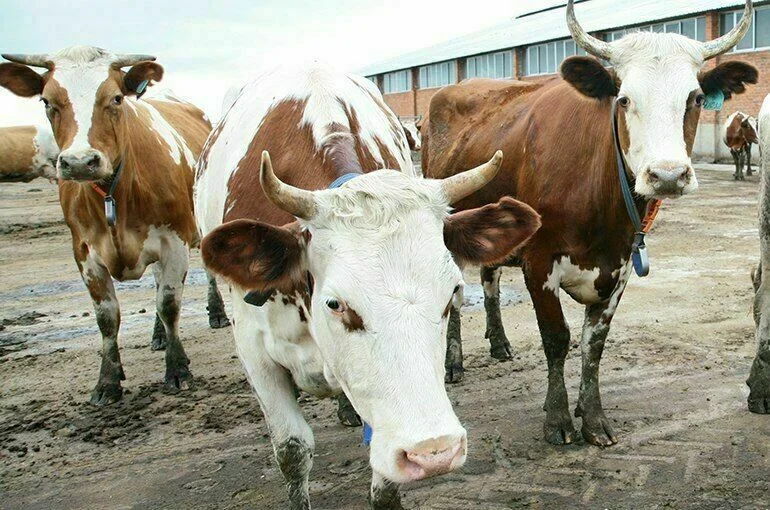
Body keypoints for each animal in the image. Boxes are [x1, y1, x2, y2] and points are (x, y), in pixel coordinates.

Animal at [0, 46, 230, 405]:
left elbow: (169, 303)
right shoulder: (84, 252)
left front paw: (178, 368)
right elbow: (107, 316)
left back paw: (215, 314)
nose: (80, 162)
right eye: (47, 101)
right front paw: (107, 381)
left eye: (117, 98)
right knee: (154, 282)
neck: (115, 192)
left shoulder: (175, 240)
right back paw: (157, 336)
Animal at [423, 0, 757, 446]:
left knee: (490, 281)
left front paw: (593, 415)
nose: (668, 175)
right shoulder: (539, 262)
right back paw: (454, 362)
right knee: (457, 299)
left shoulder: (619, 267)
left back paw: (500, 343)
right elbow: (557, 339)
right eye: (624, 99)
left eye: (698, 98)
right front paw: (559, 419)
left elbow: (593, 344)